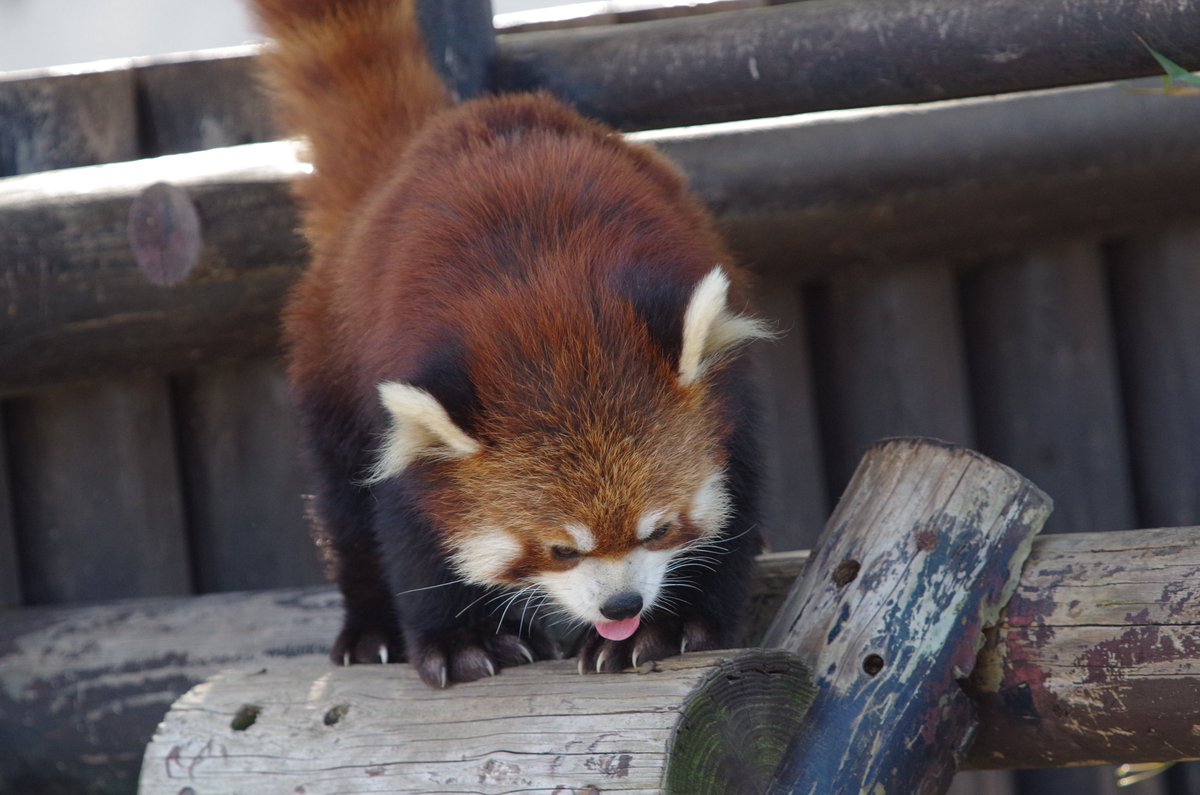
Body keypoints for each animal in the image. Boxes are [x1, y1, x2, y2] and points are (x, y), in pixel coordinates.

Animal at [258, 0, 772, 686]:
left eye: (658, 529)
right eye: (559, 549)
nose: (622, 605)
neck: (549, 312)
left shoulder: (726, 399)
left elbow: (734, 509)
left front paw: (671, 625)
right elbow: (412, 531)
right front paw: (464, 640)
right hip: (329, 364)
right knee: (344, 505)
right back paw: (372, 629)